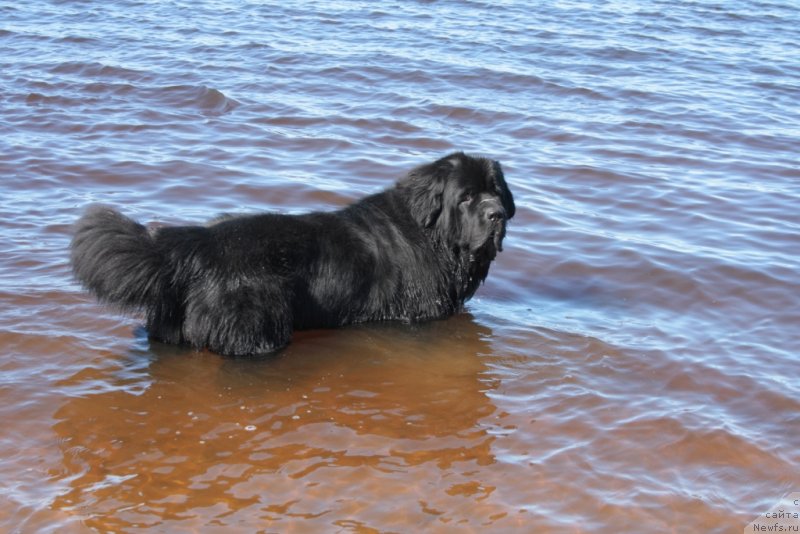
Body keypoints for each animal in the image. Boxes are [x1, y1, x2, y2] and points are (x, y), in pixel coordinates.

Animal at [72, 153, 516, 358]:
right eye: (467, 197)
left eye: (496, 191)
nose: (497, 213)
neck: (434, 236)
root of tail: (198, 243)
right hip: (255, 326)